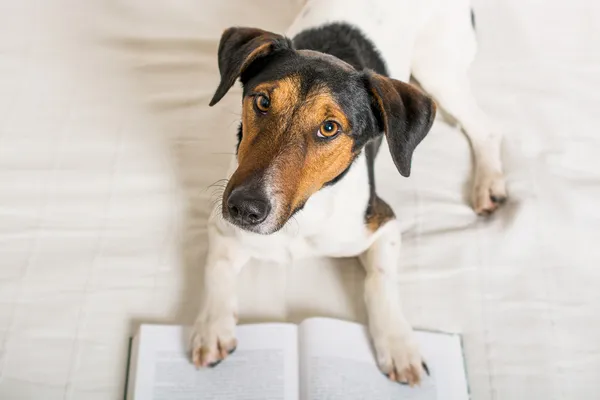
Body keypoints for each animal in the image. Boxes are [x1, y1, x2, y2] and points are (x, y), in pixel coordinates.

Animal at [190, 0, 504, 386]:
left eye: (329, 128)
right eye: (262, 102)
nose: (244, 208)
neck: (302, 215)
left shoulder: (384, 224)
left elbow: (379, 281)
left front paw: (398, 345)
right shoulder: (221, 227)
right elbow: (216, 269)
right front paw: (211, 327)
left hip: (440, 72)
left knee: (485, 128)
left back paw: (489, 183)